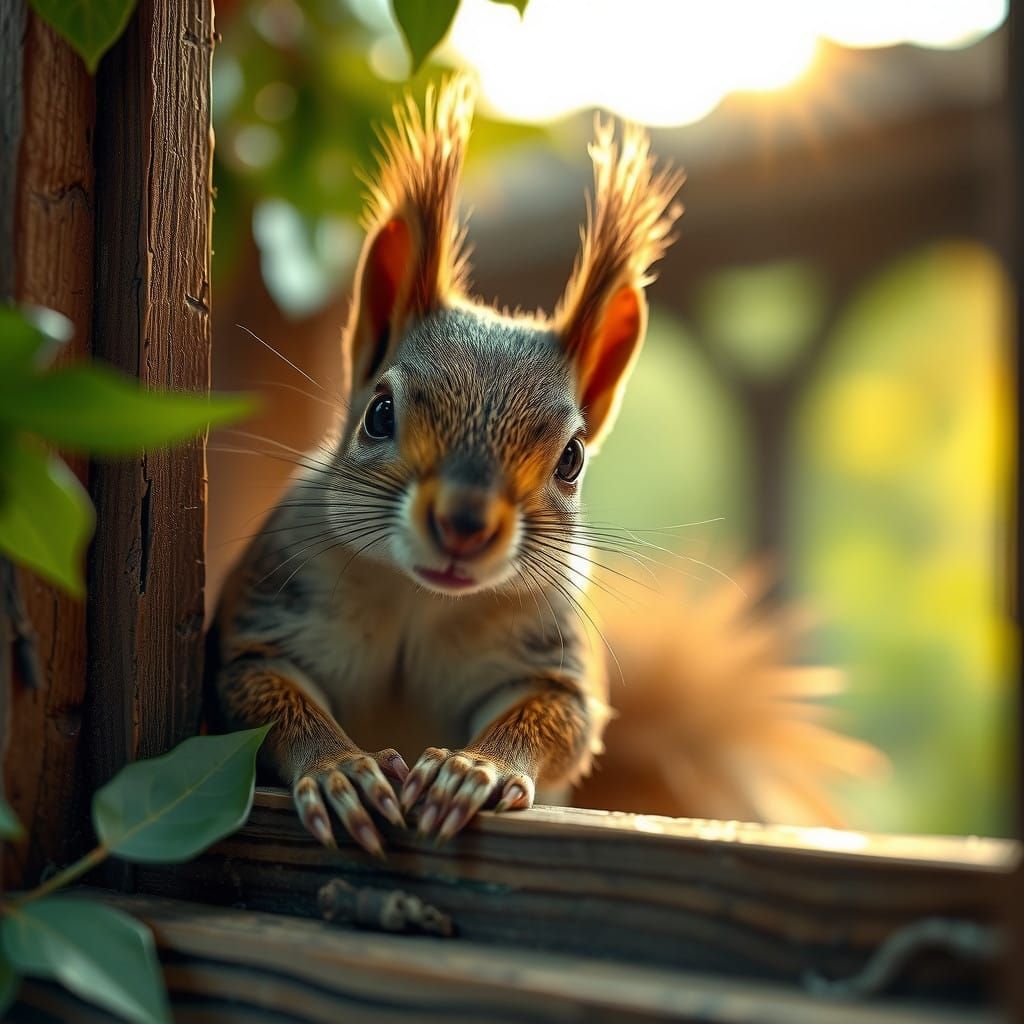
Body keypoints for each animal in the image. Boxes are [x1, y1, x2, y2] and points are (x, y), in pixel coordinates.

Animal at [208, 75, 879, 855]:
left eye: (571, 459)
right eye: (379, 412)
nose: (464, 524)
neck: (420, 600)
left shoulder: (552, 661)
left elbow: (559, 722)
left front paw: (476, 768)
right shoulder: (260, 623)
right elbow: (263, 703)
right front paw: (339, 768)